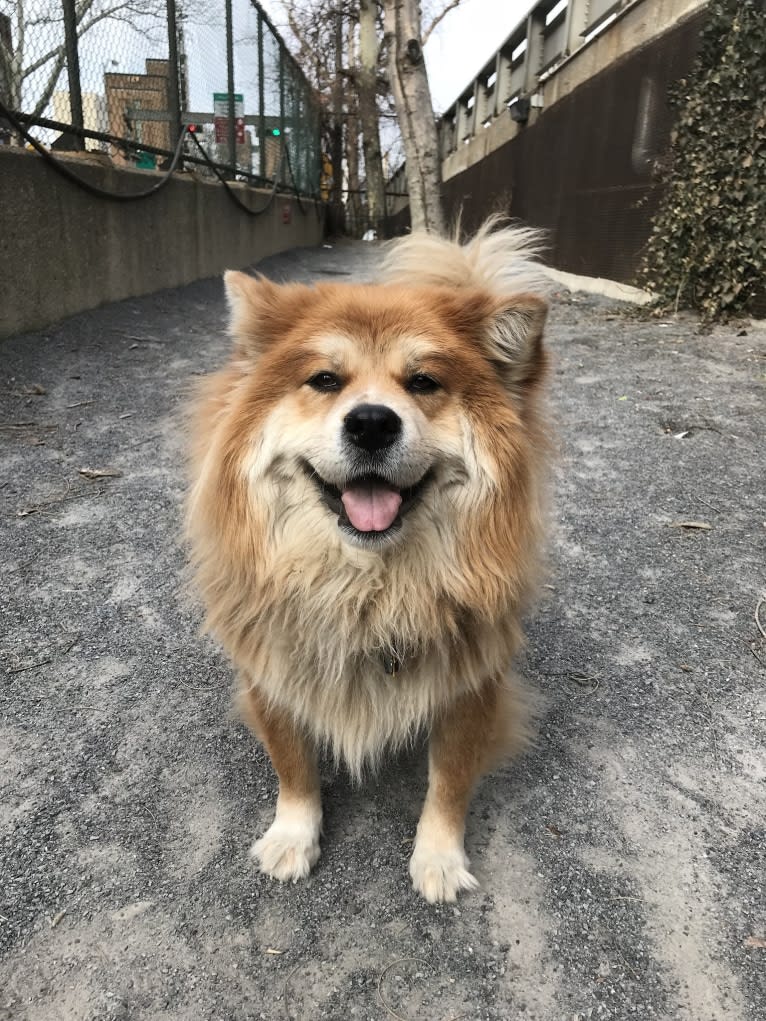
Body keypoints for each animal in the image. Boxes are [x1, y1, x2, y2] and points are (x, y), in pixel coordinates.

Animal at [186, 221, 551, 902]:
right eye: (326, 380)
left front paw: (439, 857)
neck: (366, 590)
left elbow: (450, 780)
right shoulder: (271, 669)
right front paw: (293, 835)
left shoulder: (473, 684)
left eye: (424, 383)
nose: (373, 422)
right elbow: (293, 765)